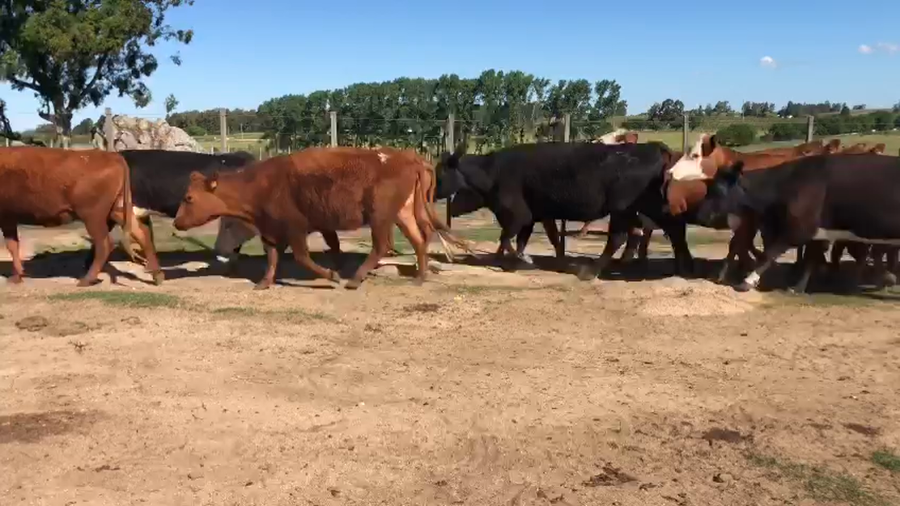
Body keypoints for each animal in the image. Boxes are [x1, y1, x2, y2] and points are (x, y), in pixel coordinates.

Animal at [0, 146, 159, 286]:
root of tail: (111, 156)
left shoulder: (6, 218)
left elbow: (12, 246)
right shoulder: (8, 219)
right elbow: (13, 245)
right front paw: (17, 276)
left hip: (93, 217)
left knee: (104, 244)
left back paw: (87, 280)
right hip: (117, 210)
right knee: (142, 233)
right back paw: (157, 275)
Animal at [172, 147, 471, 290]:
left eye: (189, 198)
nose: (176, 222)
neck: (262, 184)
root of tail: (409, 158)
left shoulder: (296, 228)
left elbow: (303, 257)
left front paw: (332, 275)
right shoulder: (276, 230)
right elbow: (274, 257)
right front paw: (264, 283)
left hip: (380, 216)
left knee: (382, 245)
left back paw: (355, 279)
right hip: (403, 213)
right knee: (419, 239)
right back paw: (419, 277)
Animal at [436, 140, 693, 281]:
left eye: (442, 173)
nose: (435, 192)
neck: (492, 172)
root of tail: (654, 148)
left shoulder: (517, 214)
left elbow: (507, 238)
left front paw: (521, 260)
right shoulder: (536, 215)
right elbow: (528, 238)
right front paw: (509, 260)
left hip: (622, 209)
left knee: (619, 238)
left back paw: (592, 270)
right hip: (648, 207)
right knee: (674, 229)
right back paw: (683, 266)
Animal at [689, 153, 900, 293]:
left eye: (717, 189)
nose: (700, 215)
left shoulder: (799, 229)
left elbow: (769, 254)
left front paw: (747, 281)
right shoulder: (816, 231)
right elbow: (810, 259)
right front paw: (798, 287)